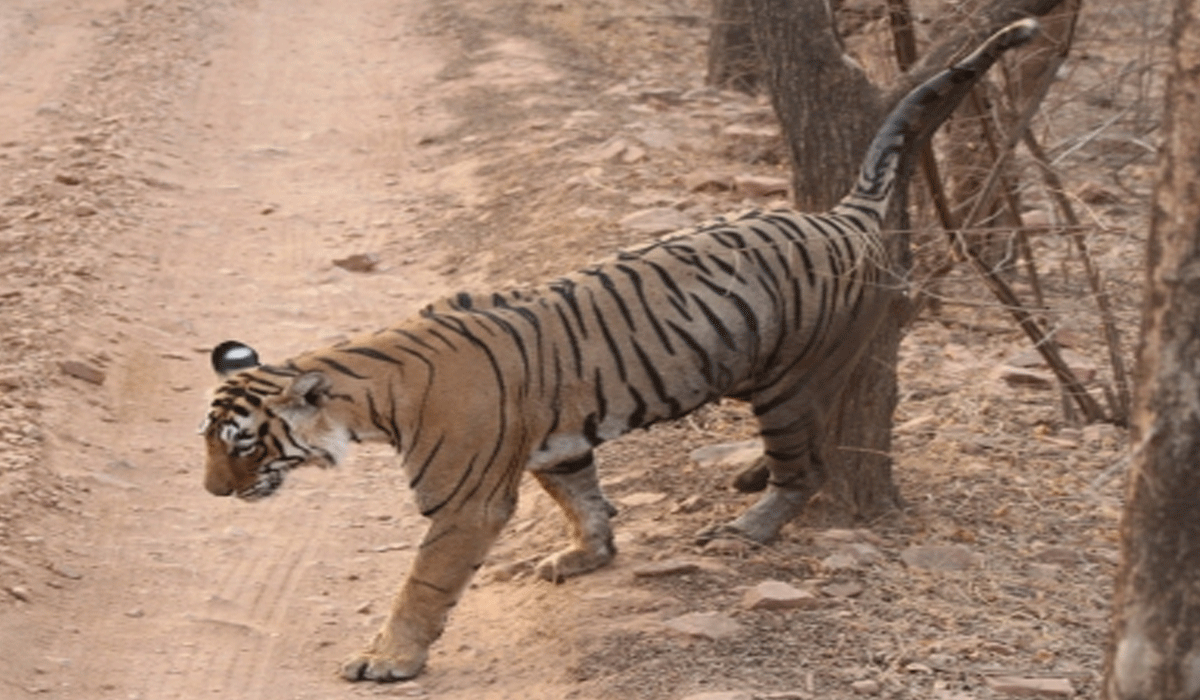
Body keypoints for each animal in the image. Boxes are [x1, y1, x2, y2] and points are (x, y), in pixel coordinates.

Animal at [199, 19, 1038, 683]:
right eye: (209, 443)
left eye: (242, 443)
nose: (213, 495)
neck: (370, 399)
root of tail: (842, 214)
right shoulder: (557, 445)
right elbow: (585, 502)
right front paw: (587, 556)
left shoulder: (466, 503)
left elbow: (423, 585)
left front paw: (388, 659)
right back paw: (745, 477)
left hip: (786, 383)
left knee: (807, 467)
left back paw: (750, 523)